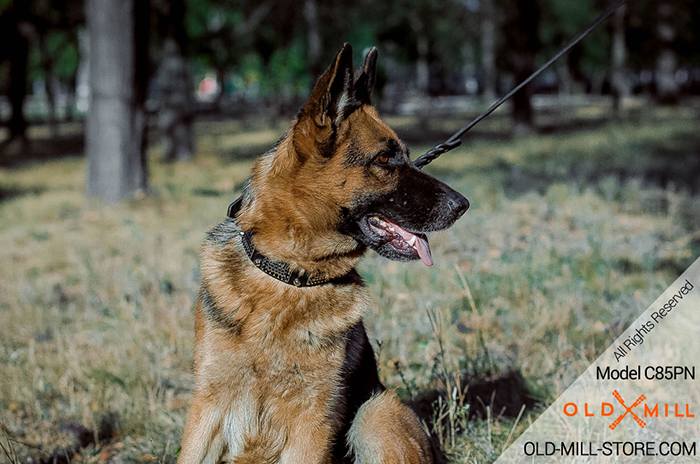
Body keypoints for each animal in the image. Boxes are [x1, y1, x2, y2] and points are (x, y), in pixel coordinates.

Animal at [178, 42, 468, 460]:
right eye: (385, 159)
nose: (463, 205)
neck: (290, 275)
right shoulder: (207, 412)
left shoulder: (313, 422)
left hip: (378, 410)